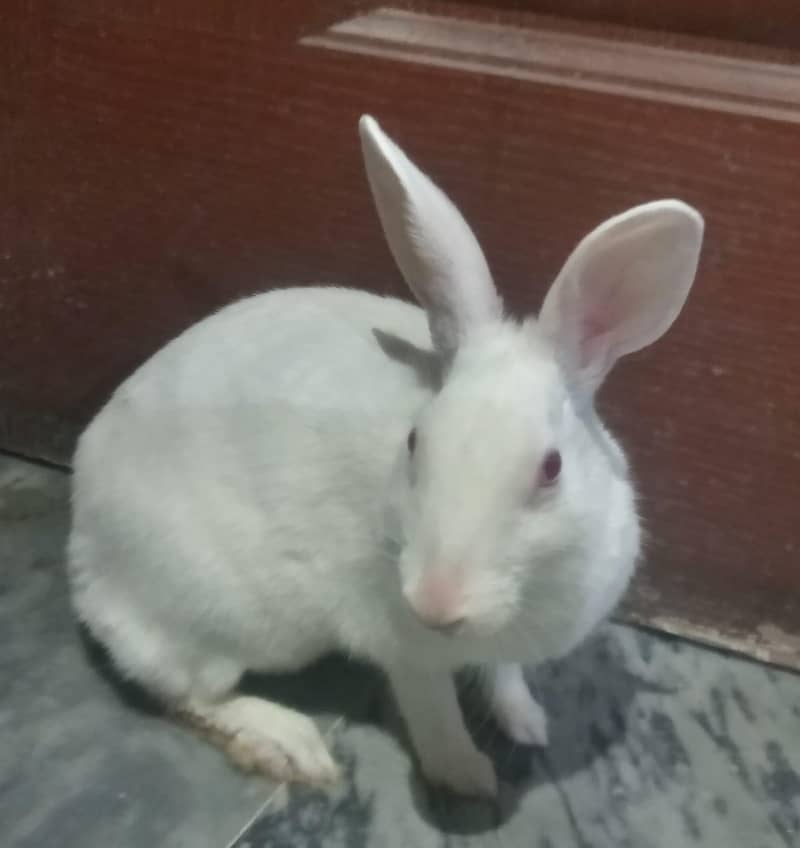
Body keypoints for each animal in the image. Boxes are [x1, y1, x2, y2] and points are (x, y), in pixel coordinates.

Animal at [67, 114, 704, 799]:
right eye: (416, 442)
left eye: (551, 468)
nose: (435, 604)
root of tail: (84, 552)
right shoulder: (404, 649)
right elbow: (434, 714)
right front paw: (470, 780)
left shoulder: (500, 644)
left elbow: (503, 675)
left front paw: (528, 723)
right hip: (214, 616)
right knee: (187, 693)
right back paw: (292, 748)